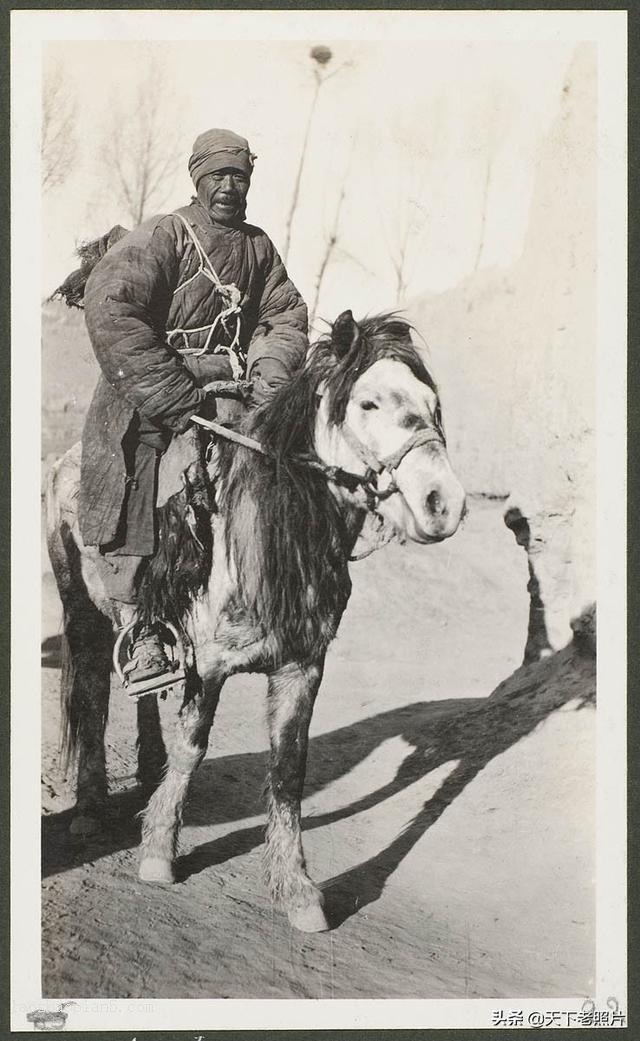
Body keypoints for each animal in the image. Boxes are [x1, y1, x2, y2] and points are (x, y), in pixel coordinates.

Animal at [46, 303, 466, 932]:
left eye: (432, 404)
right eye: (367, 404)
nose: (444, 503)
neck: (268, 537)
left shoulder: (302, 667)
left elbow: (289, 771)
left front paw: (297, 890)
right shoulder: (209, 666)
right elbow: (193, 748)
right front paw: (159, 851)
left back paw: (146, 766)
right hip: (81, 613)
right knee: (93, 693)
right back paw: (91, 807)